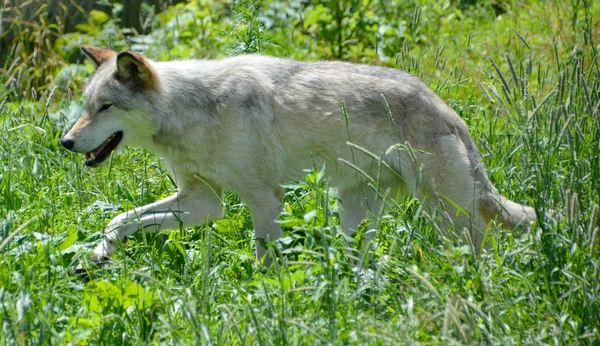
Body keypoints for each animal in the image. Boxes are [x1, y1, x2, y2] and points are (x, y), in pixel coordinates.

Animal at [61, 44, 536, 264]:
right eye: (85, 107)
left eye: (105, 108)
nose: (65, 142)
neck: (192, 109)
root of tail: (447, 110)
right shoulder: (204, 203)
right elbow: (119, 221)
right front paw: (97, 256)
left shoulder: (265, 200)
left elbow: (263, 260)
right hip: (359, 213)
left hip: (445, 214)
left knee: (481, 249)